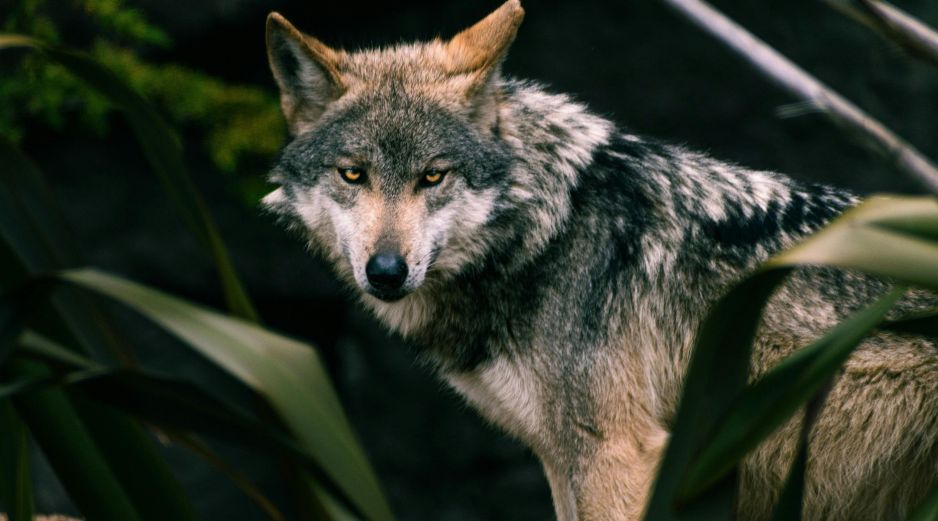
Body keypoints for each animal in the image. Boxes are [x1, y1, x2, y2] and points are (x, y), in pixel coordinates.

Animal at [261, 2, 938, 519]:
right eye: (353, 173)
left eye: (433, 176)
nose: (386, 271)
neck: (548, 230)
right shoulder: (562, 458)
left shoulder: (614, 454)